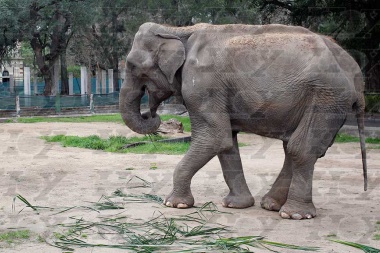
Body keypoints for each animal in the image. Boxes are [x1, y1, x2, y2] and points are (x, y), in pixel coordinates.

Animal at [120, 21, 366, 219]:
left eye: (132, 66)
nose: (151, 114)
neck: (177, 30)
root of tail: (354, 69)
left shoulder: (203, 84)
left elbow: (214, 138)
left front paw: (174, 204)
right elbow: (226, 142)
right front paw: (236, 205)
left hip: (327, 96)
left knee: (301, 147)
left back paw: (293, 214)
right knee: (294, 147)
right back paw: (271, 205)